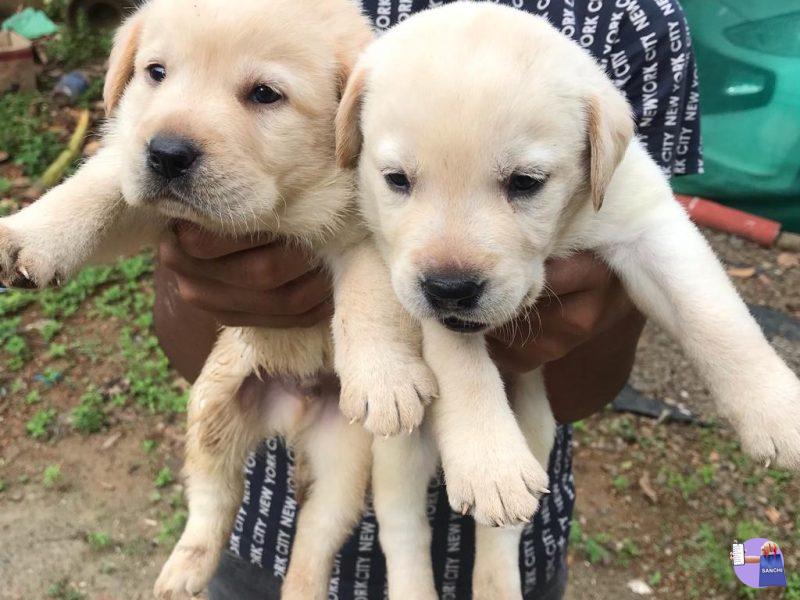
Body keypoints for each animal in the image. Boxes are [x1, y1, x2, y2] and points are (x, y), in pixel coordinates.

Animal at [0, 2, 440, 596]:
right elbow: (97, 188)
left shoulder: (382, 235)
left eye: (265, 94)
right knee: (215, 497)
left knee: (316, 533)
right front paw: (28, 236)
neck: (284, 206)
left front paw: (384, 379)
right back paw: (184, 569)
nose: (166, 153)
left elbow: (373, 300)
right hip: (212, 410)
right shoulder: (144, 191)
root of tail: (292, 410)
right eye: (156, 73)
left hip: (344, 459)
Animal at [336, 3, 800, 596]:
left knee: (504, 532)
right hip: (399, 448)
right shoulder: (407, 271)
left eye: (526, 182)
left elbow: (715, 316)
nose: (451, 288)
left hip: (537, 427)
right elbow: (460, 362)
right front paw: (488, 459)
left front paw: (776, 411)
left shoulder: (649, 222)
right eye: (396, 180)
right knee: (403, 532)